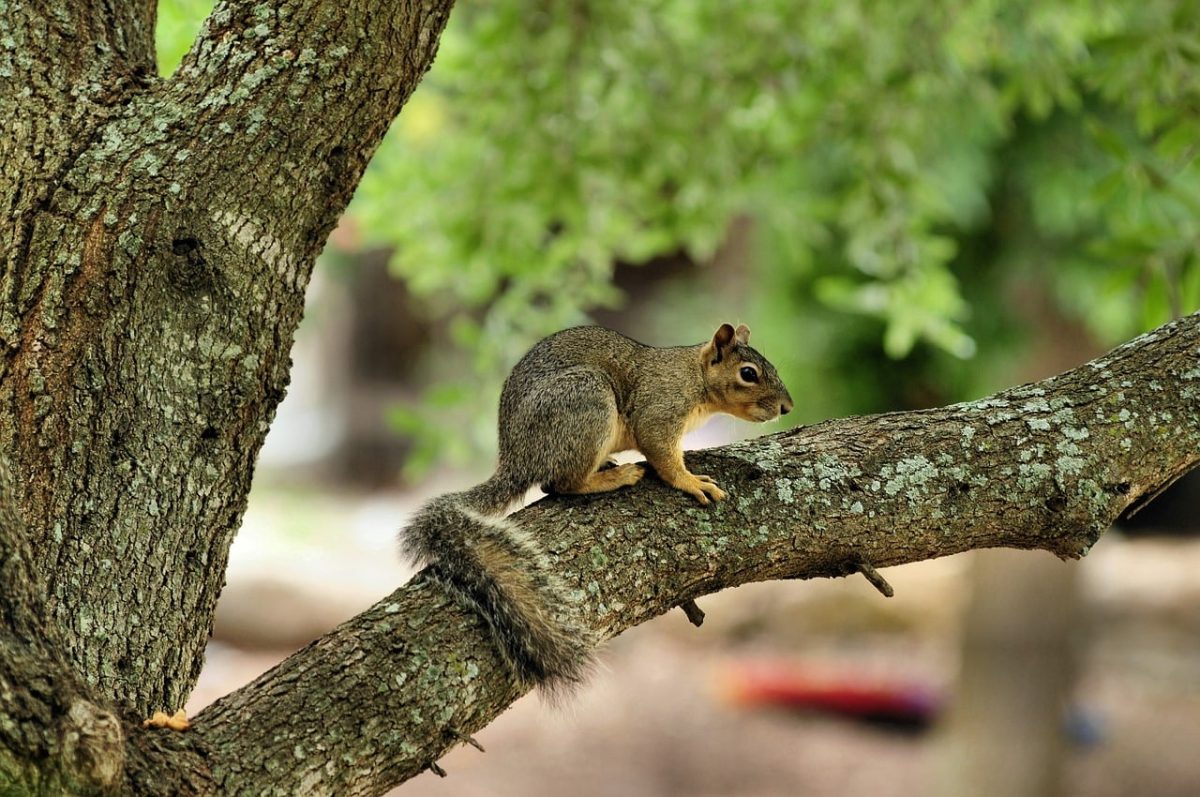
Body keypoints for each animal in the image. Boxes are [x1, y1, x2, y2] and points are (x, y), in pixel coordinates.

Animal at [400, 323, 793, 693]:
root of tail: (517, 459)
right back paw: (615, 476)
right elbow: (663, 457)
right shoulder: (657, 411)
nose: (787, 407)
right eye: (748, 373)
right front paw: (691, 481)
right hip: (586, 403)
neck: (693, 376)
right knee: (558, 484)